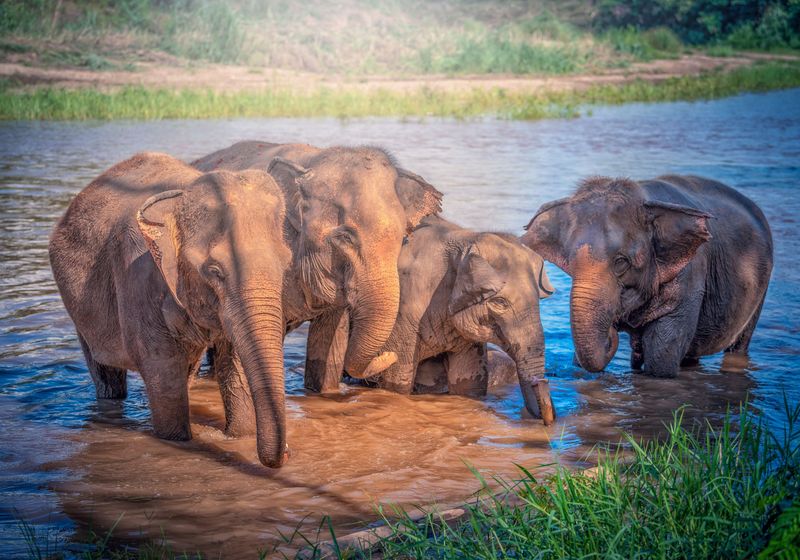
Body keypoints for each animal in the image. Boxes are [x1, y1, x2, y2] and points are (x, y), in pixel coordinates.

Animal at [49, 153, 293, 468]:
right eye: (214, 271)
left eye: (286, 265)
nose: (287, 452)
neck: (181, 196)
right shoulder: (137, 274)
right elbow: (161, 367)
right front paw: (177, 440)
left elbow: (235, 360)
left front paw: (239, 436)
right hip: (80, 312)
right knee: (106, 374)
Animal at [192, 141, 442, 423]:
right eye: (345, 237)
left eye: (404, 239)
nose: (390, 355)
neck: (315, 160)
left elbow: (331, 342)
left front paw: (324, 394)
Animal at [338, 216, 557, 424]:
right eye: (500, 302)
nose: (541, 383)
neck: (467, 239)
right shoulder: (403, 309)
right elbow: (398, 377)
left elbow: (469, 380)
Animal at [521, 175, 773, 378]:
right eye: (571, 262)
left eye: (621, 262)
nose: (612, 333)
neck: (645, 198)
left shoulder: (690, 277)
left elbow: (661, 358)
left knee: (739, 345)